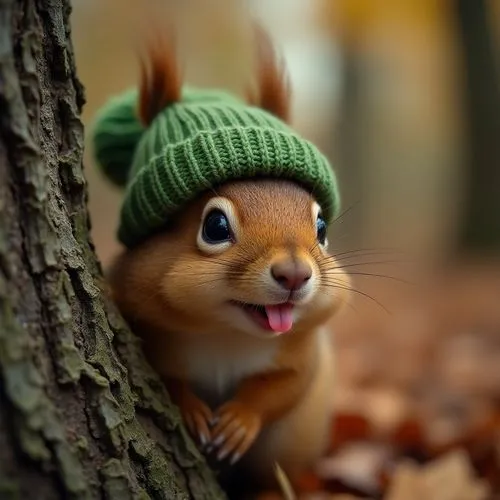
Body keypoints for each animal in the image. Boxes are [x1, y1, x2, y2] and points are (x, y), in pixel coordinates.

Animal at [92, 22, 350, 496]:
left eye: (322, 228)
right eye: (214, 226)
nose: (295, 274)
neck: (226, 334)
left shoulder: (303, 353)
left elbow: (284, 387)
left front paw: (239, 421)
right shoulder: (146, 333)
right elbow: (167, 381)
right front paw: (192, 412)